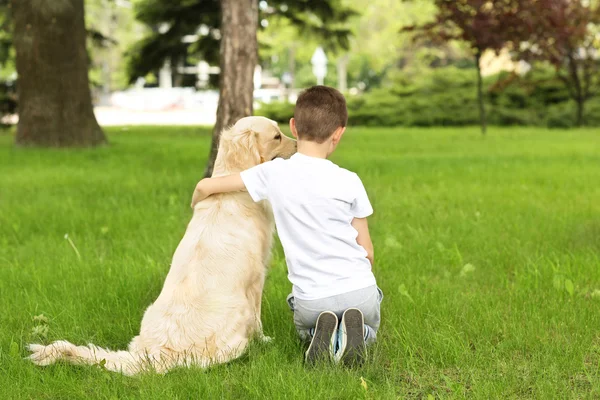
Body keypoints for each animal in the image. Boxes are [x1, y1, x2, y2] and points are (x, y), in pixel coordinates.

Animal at [28, 115, 296, 376]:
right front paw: (265, 340)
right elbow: (258, 318)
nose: (297, 145)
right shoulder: (257, 278)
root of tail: (155, 354)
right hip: (235, 324)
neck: (229, 184)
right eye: (277, 136)